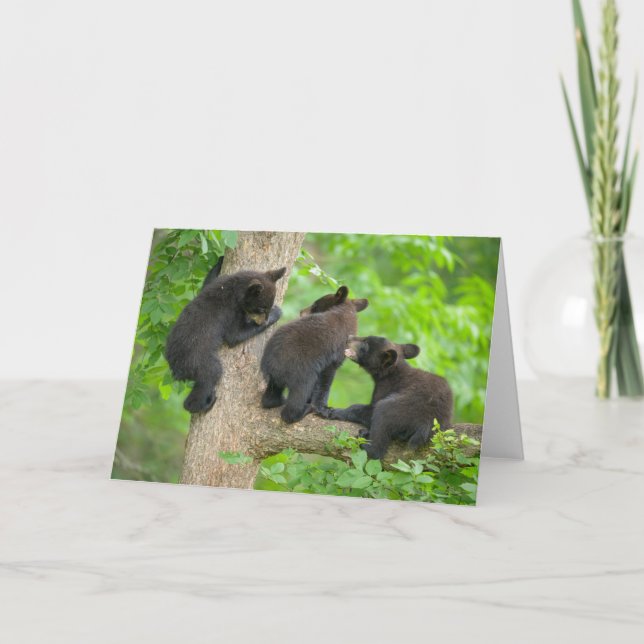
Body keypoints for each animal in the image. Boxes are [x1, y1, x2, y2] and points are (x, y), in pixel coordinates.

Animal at [165, 265, 286, 413]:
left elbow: (207, 281)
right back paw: (204, 403)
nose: (265, 320)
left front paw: (219, 261)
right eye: (262, 308)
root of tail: (175, 369)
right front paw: (277, 313)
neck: (234, 288)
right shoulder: (230, 311)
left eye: (267, 307)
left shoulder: (215, 283)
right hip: (198, 360)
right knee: (211, 374)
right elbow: (234, 335)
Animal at [260, 286, 369, 424]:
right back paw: (304, 409)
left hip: (276, 378)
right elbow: (325, 382)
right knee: (297, 398)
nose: (301, 311)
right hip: (301, 371)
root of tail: (271, 366)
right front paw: (323, 408)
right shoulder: (332, 356)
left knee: (271, 395)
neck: (345, 312)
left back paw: (277, 401)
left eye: (315, 305)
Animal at [316, 335, 453, 459]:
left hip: (404, 408)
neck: (390, 372)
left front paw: (333, 411)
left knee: (382, 418)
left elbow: (368, 409)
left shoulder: (386, 387)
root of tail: (428, 423)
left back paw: (366, 443)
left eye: (366, 343)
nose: (348, 337)